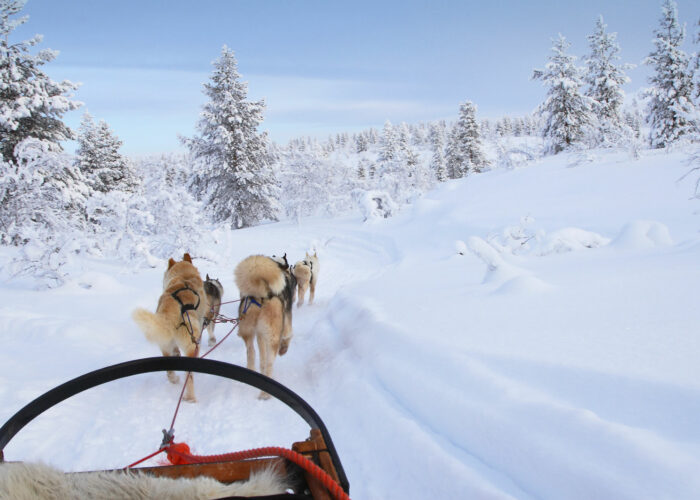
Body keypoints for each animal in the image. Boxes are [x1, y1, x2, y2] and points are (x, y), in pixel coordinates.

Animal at [131, 254, 208, 402]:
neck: (184, 276)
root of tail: (172, 308)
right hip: (191, 342)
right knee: (189, 376)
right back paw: (190, 398)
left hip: (164, 344)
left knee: (169, 368)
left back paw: (174, 378)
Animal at [234, 254, 296, 398]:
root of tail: (261, 295)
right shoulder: (286, 322)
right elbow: (288, 335)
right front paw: (284, 348)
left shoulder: (260, 335)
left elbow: (261, 356)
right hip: (273, 337)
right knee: (269, 363)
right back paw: (265, 394)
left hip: (248, 332)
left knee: (251, 352)